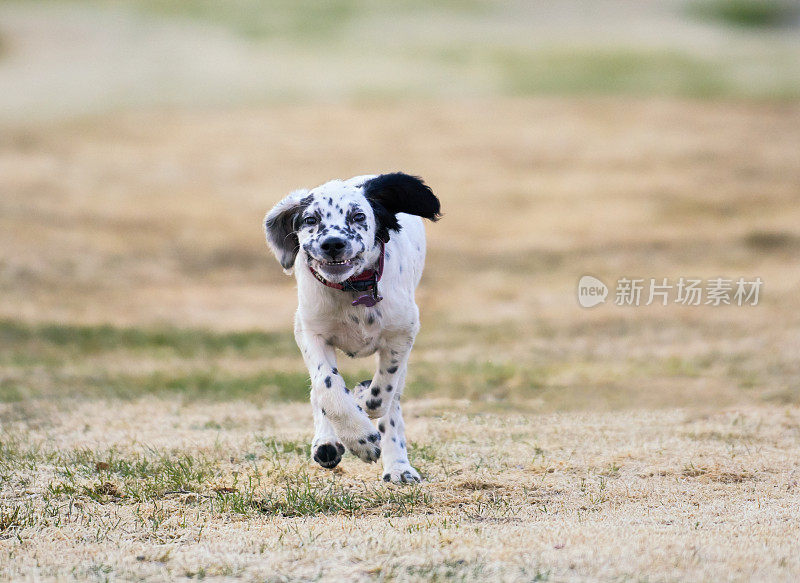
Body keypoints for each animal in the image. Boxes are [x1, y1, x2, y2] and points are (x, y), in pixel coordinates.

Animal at [264, 172, 440, 484]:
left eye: (358, 216)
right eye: (310, 219)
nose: (333, 243)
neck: (353, 290)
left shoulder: (402, 333)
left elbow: (381, 396)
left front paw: (362, 398)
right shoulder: (310, 332)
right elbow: (327, 385)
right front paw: (359, 437)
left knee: (392, 404)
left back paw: (398, 467)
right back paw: (327, 443)